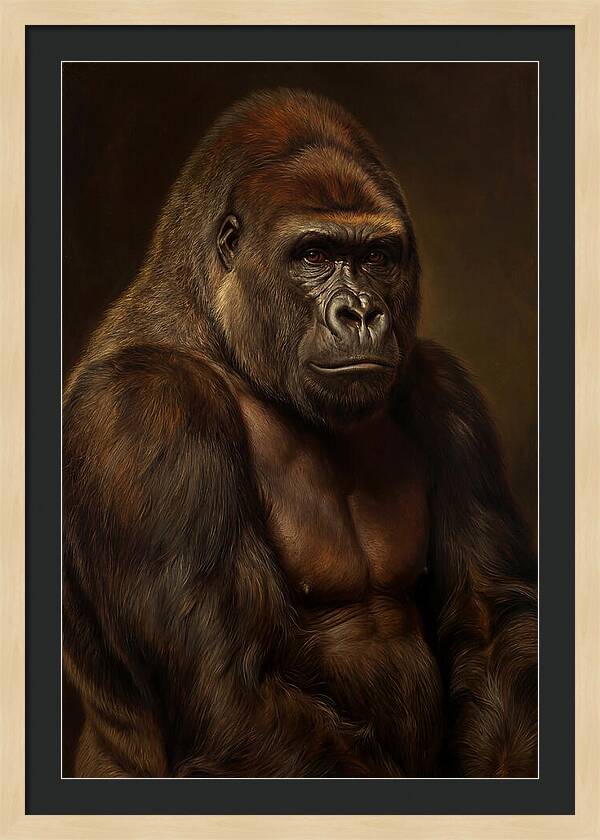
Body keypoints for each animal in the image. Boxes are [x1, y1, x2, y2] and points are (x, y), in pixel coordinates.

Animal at [63, 88, 537, 778]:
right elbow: (231, 692)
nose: (361, 313)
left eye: (376, 257)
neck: (221, 337)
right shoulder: (145, 410)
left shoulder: (446, 392)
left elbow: (490, 622)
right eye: (313, 255)